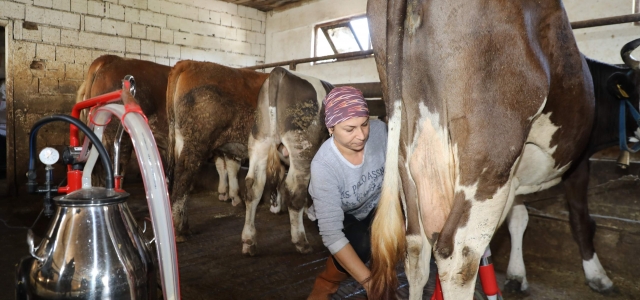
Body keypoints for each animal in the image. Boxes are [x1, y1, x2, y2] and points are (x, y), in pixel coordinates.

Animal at [242, 67, 332, 255]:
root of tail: (281, 71)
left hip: (259, 140)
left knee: (253, 187)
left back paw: (249, 241)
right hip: (302, 147)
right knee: (295, 189)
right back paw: (301, 241)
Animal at [364, 0, 608, 298]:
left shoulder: (517, 180)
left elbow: (518, 218)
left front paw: (517, 275)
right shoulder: (579, 162)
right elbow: (580, 218)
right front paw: (597, 275)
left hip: (406, 160)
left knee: (415, 250)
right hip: (490, 161)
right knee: (458, 258)